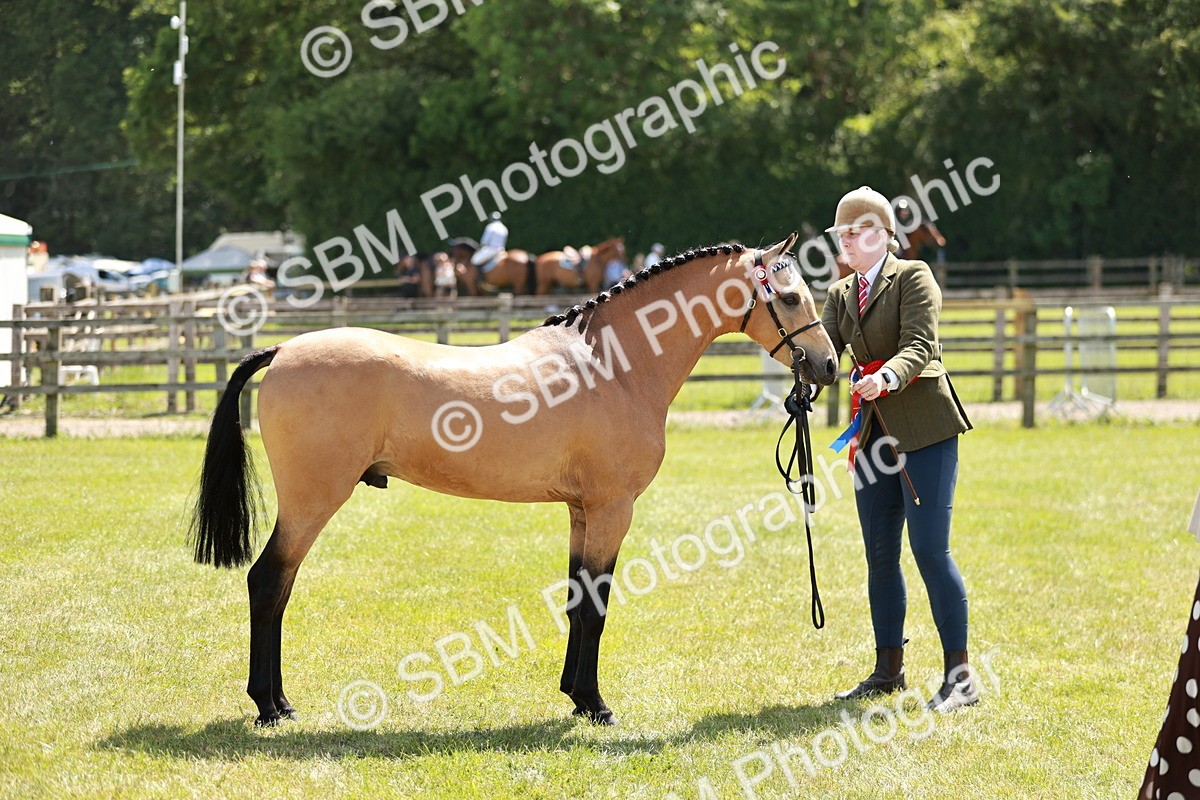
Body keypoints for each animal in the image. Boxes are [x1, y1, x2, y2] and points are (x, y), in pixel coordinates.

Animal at [189, 232, 838, 727]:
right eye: (788, 295)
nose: (828, 365)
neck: (615, 364)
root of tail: (282, 350)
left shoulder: (582, 511)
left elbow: (578, 600)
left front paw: (575, 696)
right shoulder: (613, 509)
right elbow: (597, 605)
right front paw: (597, 706)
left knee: (277, 588)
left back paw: (276, 701)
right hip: (312, 501)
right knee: (269, 583)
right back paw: (271, 706)